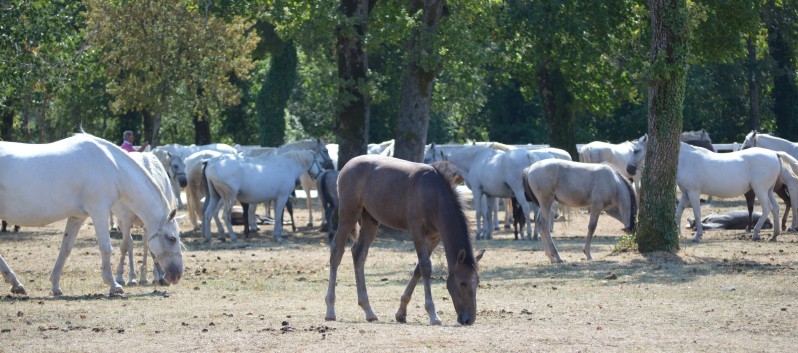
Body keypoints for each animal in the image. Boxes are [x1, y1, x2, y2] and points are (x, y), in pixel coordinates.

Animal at [0, 133, 182, 296]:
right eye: (172, 239)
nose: (177, 275)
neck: (113, 167)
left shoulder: (77, 217)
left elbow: (65, 249)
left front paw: (55, 286)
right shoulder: (99, 211)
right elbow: (106, 248)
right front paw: (113, 284)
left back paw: (16, 284)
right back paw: (15, 283)